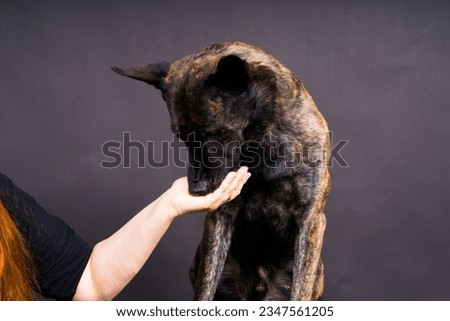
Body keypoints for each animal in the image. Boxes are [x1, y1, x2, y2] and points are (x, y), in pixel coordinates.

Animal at [112, 41, 330, 298]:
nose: (196, 189)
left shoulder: (310, 218)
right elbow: (205, 287)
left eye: (213, 134)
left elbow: (300, 290)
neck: (260, 144)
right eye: (181, 137)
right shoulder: (220, 217)